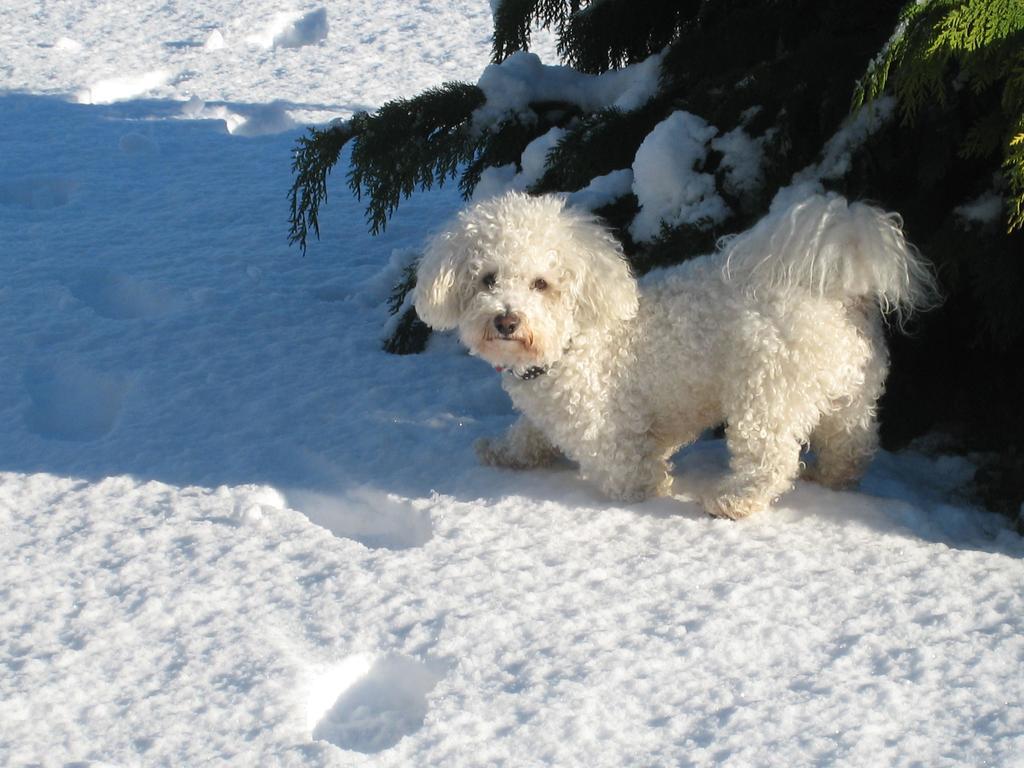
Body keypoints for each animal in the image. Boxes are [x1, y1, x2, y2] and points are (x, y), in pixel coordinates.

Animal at [413, 192, 937, 520]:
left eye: (542, 284)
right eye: (487, 279)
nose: (506, 320)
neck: (576, 337)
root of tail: (838, 294)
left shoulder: (608, 432)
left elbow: (628, 474)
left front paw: (650, 492)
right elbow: (528, 434)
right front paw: (502, 451)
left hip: (766, 391)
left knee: (772, 460)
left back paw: (733, 502)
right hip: (852, 394)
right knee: (852, 445)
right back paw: (833, 480)